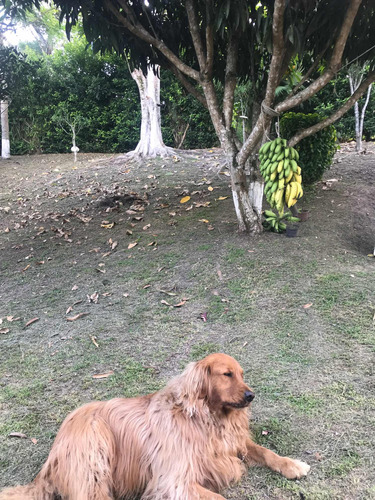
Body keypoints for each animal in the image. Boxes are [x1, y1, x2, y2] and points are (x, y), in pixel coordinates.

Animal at [0, 354, 312, 500]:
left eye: (242, 374)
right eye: (227, 374)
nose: (251, 396)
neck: (206, 418)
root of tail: (48, 463)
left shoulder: (231, 444)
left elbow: (266, 451)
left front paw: (293, 464)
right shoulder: (173, 480)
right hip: (95, 445)